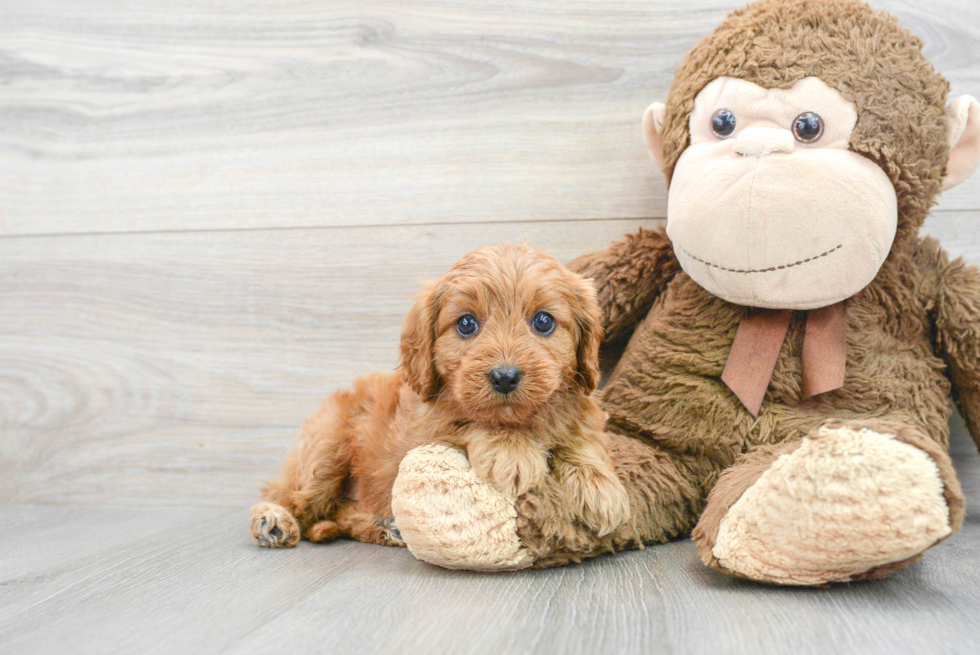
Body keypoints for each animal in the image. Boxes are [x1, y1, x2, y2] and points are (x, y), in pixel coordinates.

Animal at [251, 243, 628, 552]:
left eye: (544, 321)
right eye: (466, 324)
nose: (505, 377)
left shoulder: (580, 407)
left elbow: (581, 437)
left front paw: (600, 488)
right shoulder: (427, 430)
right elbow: (468, 420)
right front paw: (510, 451)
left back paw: (384, 528)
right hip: (326, 449)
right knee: (289, 495)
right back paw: (272, 521)